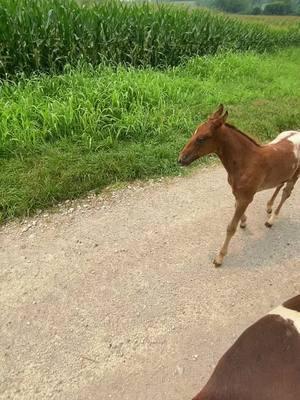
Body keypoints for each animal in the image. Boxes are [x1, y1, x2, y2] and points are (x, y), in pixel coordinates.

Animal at [178, 106, 300, 268]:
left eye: (202, 138)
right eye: (194, 132)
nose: (181, 159)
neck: (246, 161)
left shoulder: (246, 197)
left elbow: (231, 227)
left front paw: (219, 258)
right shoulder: (237, 192)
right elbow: (236, 206)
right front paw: (244, 221)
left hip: (295, 175)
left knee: (286, 192)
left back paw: (271, 220)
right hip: (284, 172)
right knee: (279, 184)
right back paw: (269, 206)